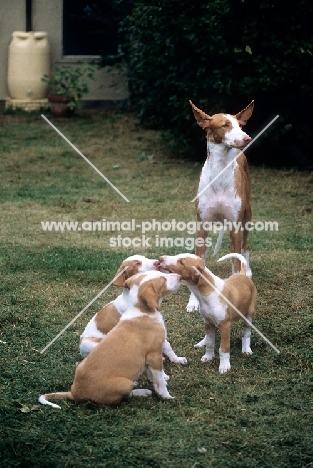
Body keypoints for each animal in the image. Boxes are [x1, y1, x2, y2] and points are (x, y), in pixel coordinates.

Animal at [38, 268, 180, 408]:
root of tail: (74, 393)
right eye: (163, 279)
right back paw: (142, 391)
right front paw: (166, 396)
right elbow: (160, 380)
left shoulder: (146, 358)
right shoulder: (154, 355)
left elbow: (151, 373)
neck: (140, 311)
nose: (179, 276)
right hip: (123, 383)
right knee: (125, 397)